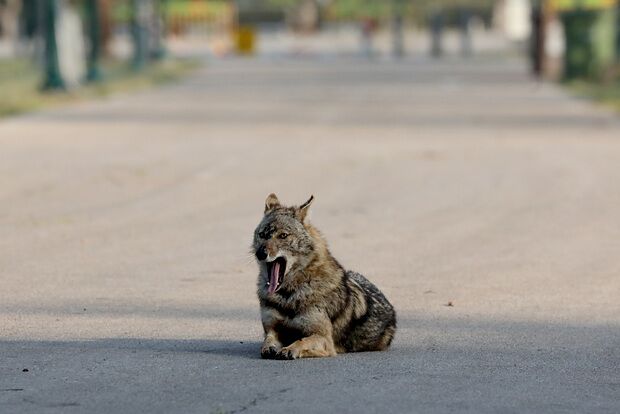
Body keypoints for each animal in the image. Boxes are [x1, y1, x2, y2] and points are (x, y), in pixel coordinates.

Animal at [252, 194, 398, 360]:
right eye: (262, 235)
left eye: (283, 235)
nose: (260, 253)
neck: (288, 296)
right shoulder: (272, 328)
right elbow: (268, 340)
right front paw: (270, 348)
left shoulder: (324, 338)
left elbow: (302, 341)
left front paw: (290, 349)